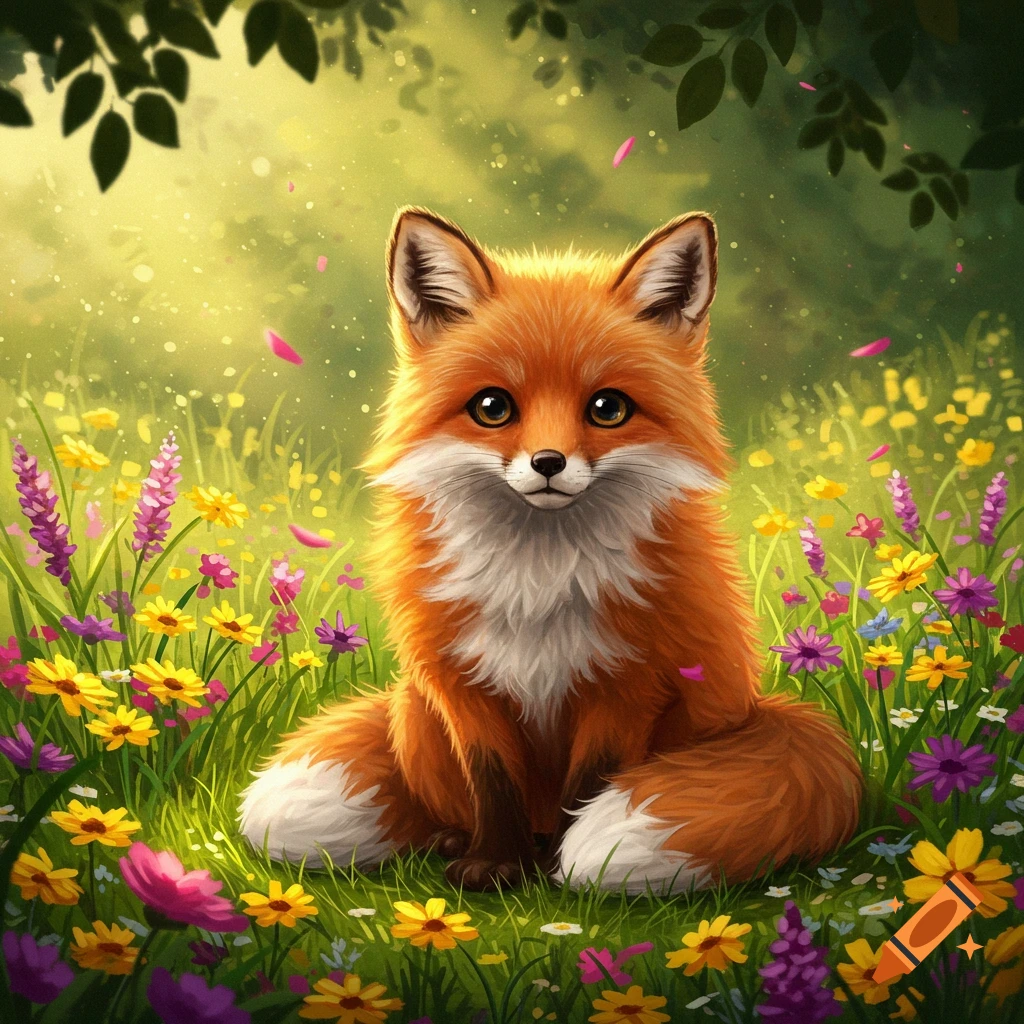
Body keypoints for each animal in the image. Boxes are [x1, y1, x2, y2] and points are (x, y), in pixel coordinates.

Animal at [238, 206, 863, 893]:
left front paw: (558, 868)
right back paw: (458, 839)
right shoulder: (462, 685)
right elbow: (492, 782)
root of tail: (757, 708)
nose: (548, 463)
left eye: (608, 408)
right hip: (414, 710)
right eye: (492, 407)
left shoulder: (626, 684)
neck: (535, 580)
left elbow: (587, 786)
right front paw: (495, 863)